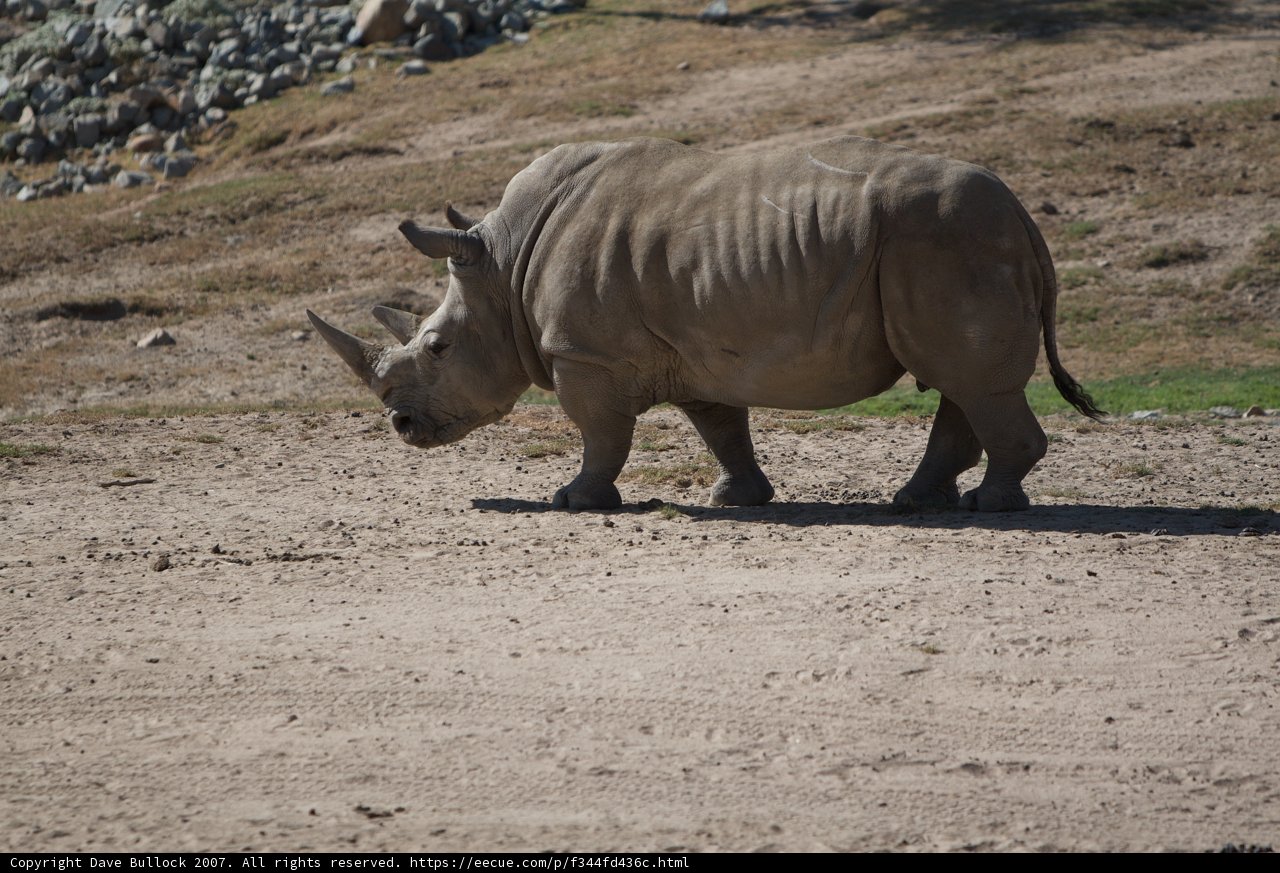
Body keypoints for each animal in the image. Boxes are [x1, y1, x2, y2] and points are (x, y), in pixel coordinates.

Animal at [308, 136, 1102, 512]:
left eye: (438, 347)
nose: (402, 426)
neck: (501, 265)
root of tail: (1026, 216)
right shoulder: (692, 348)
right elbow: (720, 426)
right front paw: (737, 498)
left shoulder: (585, 353)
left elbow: (600, 433)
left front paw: (573, 500)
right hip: (950, 242)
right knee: (960, 380)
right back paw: (918, 502)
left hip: (947, 240)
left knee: (971, 379)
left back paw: (988, 505)